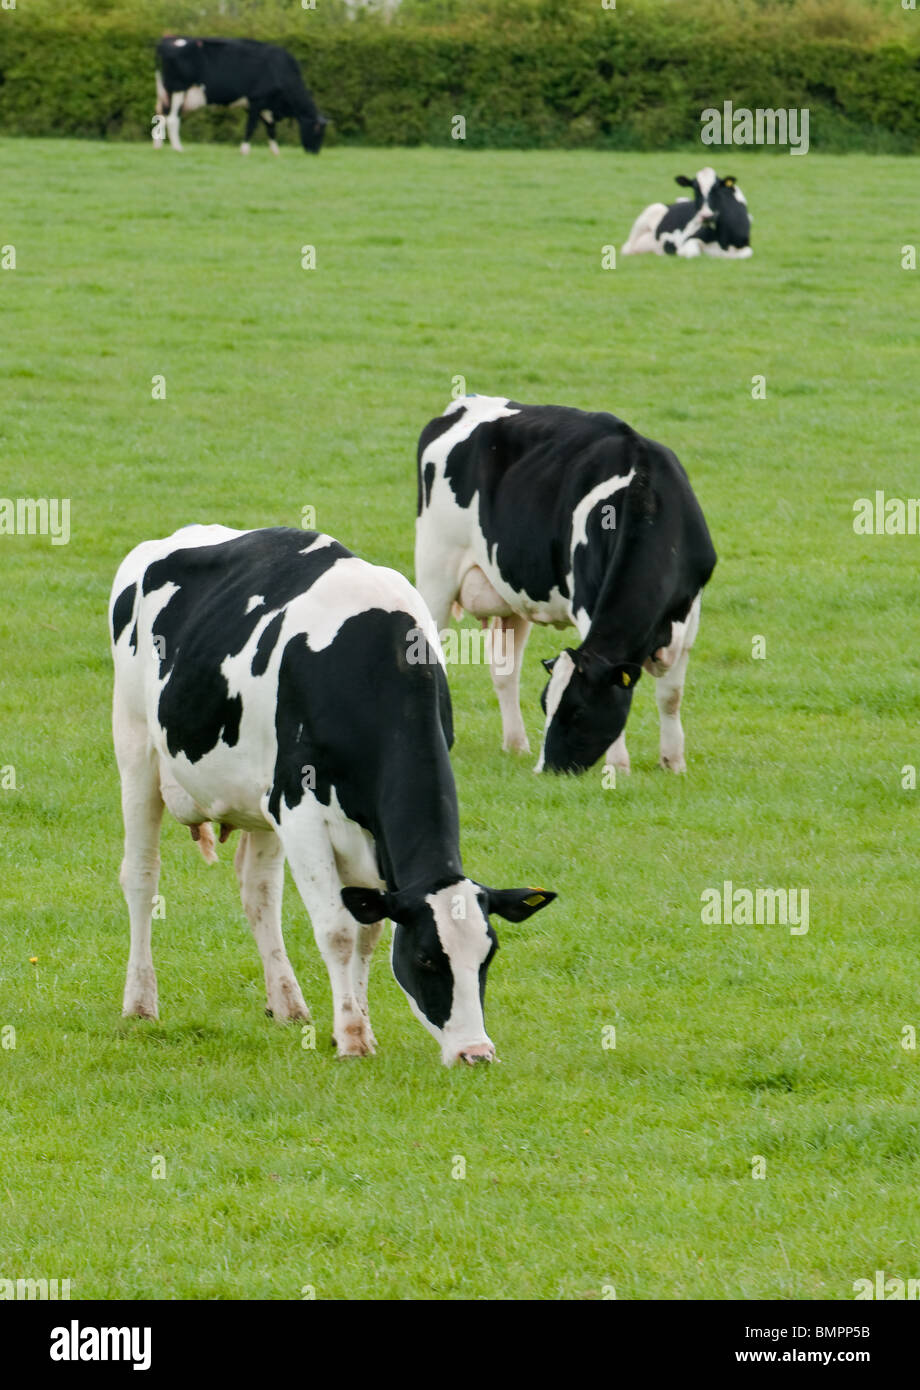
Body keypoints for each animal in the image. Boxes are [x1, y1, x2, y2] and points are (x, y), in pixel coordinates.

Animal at [110, 525, 555, 1066]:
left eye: (487, 956)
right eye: (426, 958)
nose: (476, 1052)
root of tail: (176, 537)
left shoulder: (358, 828)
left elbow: (368, 930)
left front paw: (361, 1023)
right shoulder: (299, 809)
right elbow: (338, 931)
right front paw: (352, 1037)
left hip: (259, 798)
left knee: (258, 890)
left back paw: (287, 1002)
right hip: (136, 749)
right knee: (141, 876)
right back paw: (140, 1004)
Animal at [154, 36, 327, 155]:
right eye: (318, 131)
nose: (315, 152)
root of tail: (168, 41)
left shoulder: (266, 106)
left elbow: (271, 128)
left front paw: (276, 152)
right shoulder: (257, 101)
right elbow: (251, 126)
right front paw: (244, 150)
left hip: (166, 94)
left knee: (161, 116)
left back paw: (158, 146)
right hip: (178, 90)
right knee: (172, 119)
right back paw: (178, 148)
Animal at [415, 395, 717, 776]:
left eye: (578, 712)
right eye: (547, 705)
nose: (547, 769)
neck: (648, 498)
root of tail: (465, 403)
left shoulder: (689, 612)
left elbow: (671, 695)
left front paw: (673, 762)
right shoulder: (587, 603)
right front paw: (618, 766)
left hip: (511, 597)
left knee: (505, 671)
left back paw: (516, 745)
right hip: (435, 574)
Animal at [621, 168, 752, 258]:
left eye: (716, 189)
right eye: (695, 189)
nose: (706, 216)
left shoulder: (746, 246)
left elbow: (745, 253)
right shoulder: (689, 239)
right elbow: (691, 252)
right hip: (647, 215)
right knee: (627, 248)